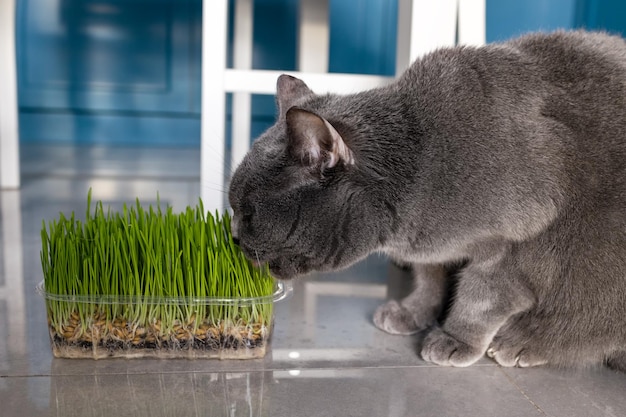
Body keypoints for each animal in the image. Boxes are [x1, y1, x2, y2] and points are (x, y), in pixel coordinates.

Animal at [227, 30, 624, 368]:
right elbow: (430, 277)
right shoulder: (434, 250)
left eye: (248, 214)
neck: (423, 167)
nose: (232, 236)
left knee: (589, 328)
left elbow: (480, 297)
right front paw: (412, 312)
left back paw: (519, 343)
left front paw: (455, 338)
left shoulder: (513, 240)